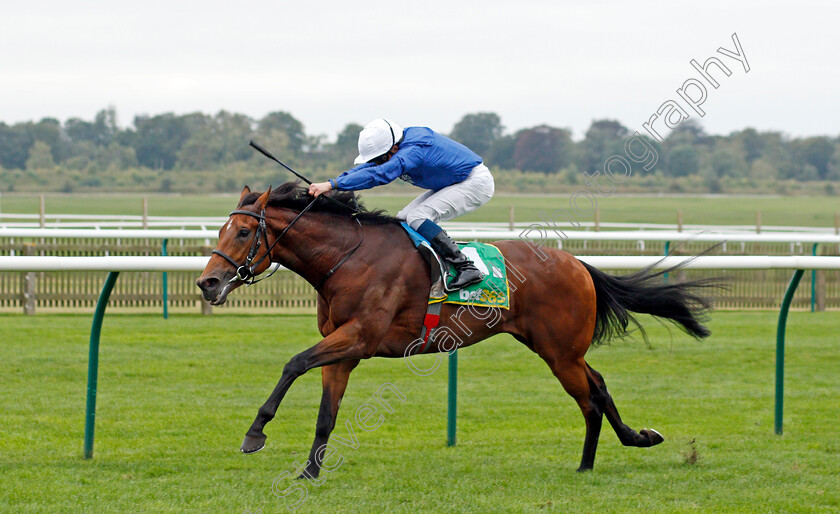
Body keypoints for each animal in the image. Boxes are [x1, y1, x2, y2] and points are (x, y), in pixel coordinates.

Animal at [197, 182, 716, 474]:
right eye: (221, 230)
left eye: (244, 232)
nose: (208, 282)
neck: (347, 259)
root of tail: (578, 263)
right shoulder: (344, 348)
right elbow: (327, 412)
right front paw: (309, 472)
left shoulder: (359, 337)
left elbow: (293, 363)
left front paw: (256, 432)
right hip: (561, 349)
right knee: (599, 386)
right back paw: (615, 449)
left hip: (560, 352)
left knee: (589, 397)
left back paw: (600, 457)